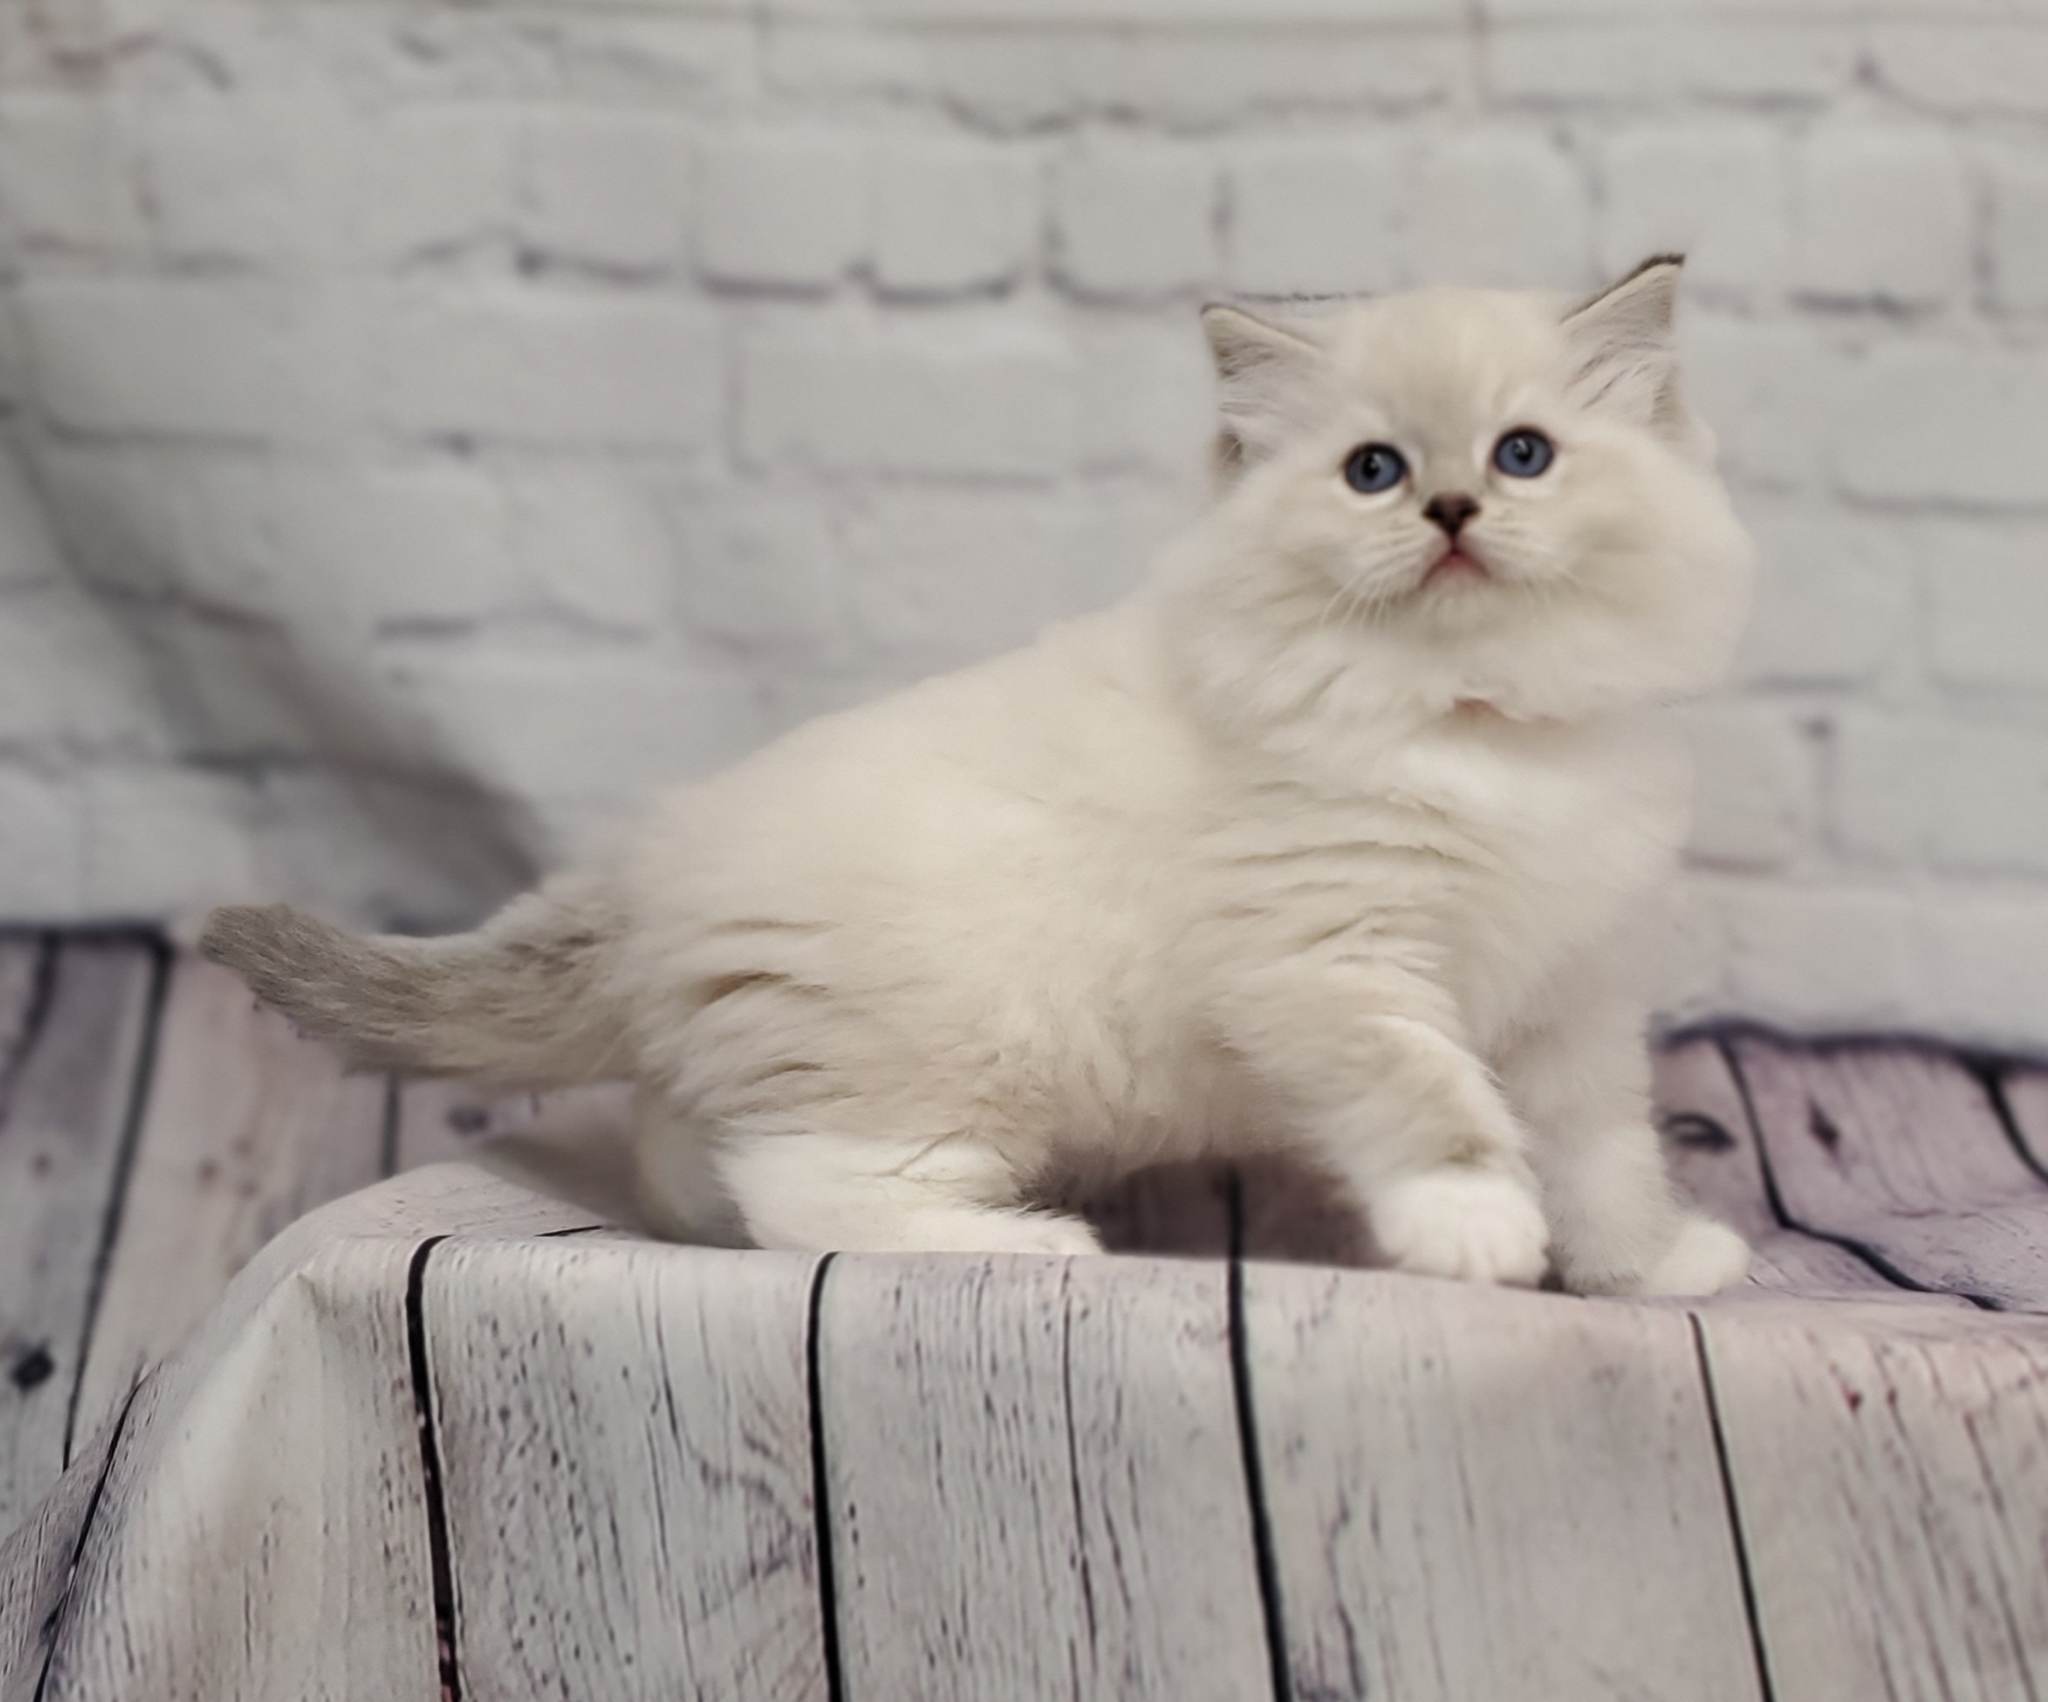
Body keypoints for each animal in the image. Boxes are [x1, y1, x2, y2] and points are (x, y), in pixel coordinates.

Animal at [203, 254, 1755, 1295]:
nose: (1448, 510)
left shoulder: (1572, 1000)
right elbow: (1432, 1106)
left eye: (1522, 455)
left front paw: (1648, 1268)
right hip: (948, 1064)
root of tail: (647, 866)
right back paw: (1032, 1241)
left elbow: (1603, 1157)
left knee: (700, 1164)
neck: (1465, 716)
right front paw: (1474, 1227)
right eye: (1372, 471)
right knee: (804, 1195)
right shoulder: (1332, 963)